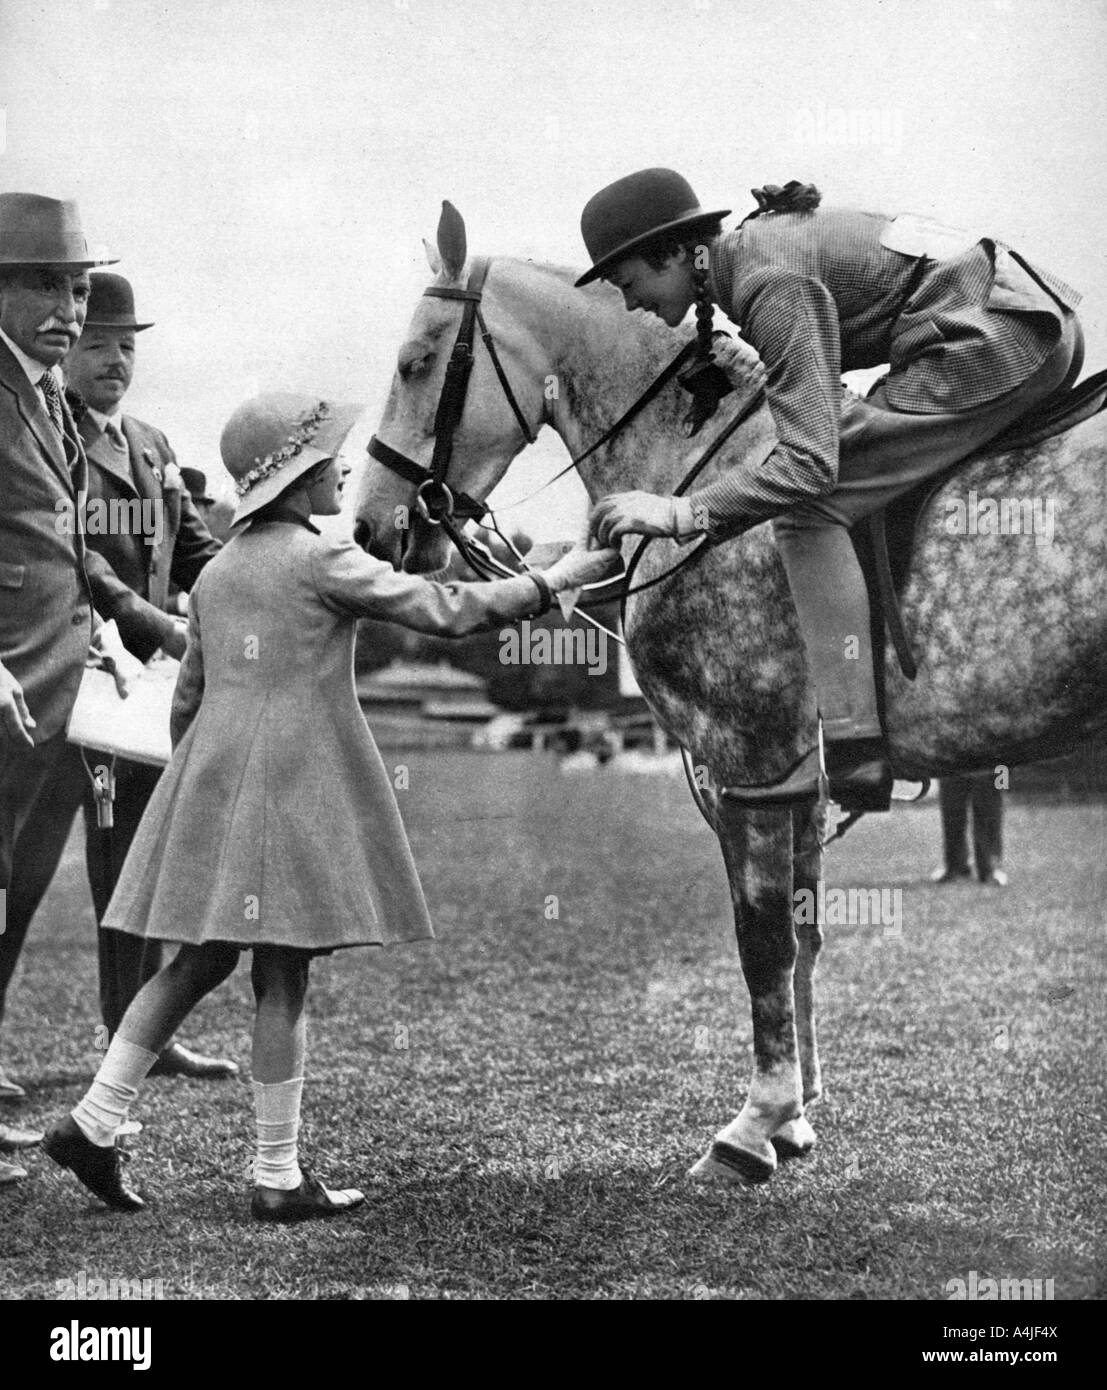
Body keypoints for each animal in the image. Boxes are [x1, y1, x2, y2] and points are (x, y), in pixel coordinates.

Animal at [356, 205, 1107, 1184]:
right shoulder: (795, 784)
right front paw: (795, 1116)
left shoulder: (749, 767)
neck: (704, 466)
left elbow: (763, 945)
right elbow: (802, 939)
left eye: (413, 362)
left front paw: (753, 1129)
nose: (370, 526)